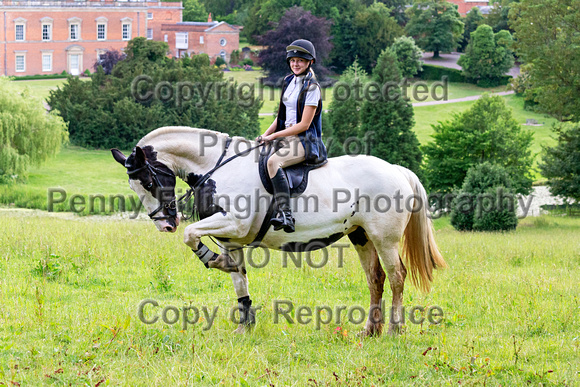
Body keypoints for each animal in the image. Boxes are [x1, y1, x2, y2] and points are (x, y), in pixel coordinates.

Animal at [112, 126, 448, 336]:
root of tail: (396, 170)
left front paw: (212, 260)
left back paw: (393, 329)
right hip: (360, 235)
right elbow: (239, 280)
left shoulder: (234, 223)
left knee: (396, 276)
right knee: (375, 279)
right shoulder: (231, 238)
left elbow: (191, 234)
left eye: (150, 182)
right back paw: (369, 330)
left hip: (383, 238)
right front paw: (244, 325)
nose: (165, 224)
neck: (216, 167)